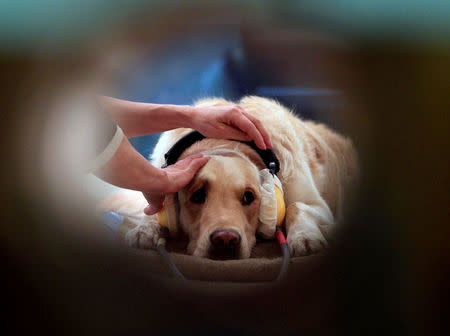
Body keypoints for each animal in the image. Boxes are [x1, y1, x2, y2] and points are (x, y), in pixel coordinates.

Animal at [99, 96, 358, 258]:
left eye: (248, 197)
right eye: (198, 196)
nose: (225, 240)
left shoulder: (318, 205)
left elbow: (297, 207)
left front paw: (304, 237)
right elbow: (153, 209)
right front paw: (144, 229)